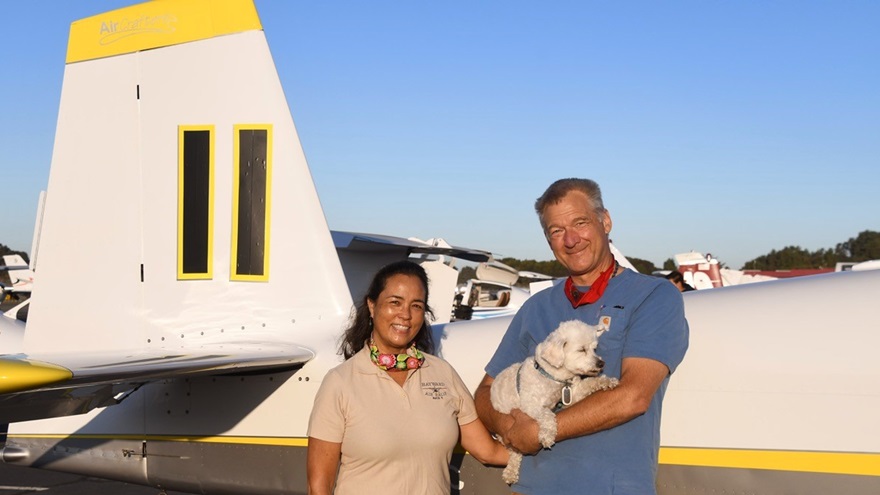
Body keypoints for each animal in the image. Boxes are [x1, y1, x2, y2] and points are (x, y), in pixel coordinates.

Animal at [488, 320, 620, 486]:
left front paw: (607, 381)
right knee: (514, 453)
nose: (601, 363)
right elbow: (547, 415)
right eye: (581, 349)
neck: (553, 376)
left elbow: (590, 382)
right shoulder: (531, 405)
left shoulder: (574, 392)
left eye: (594, 349)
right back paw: (510, 472)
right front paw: (547, 435)